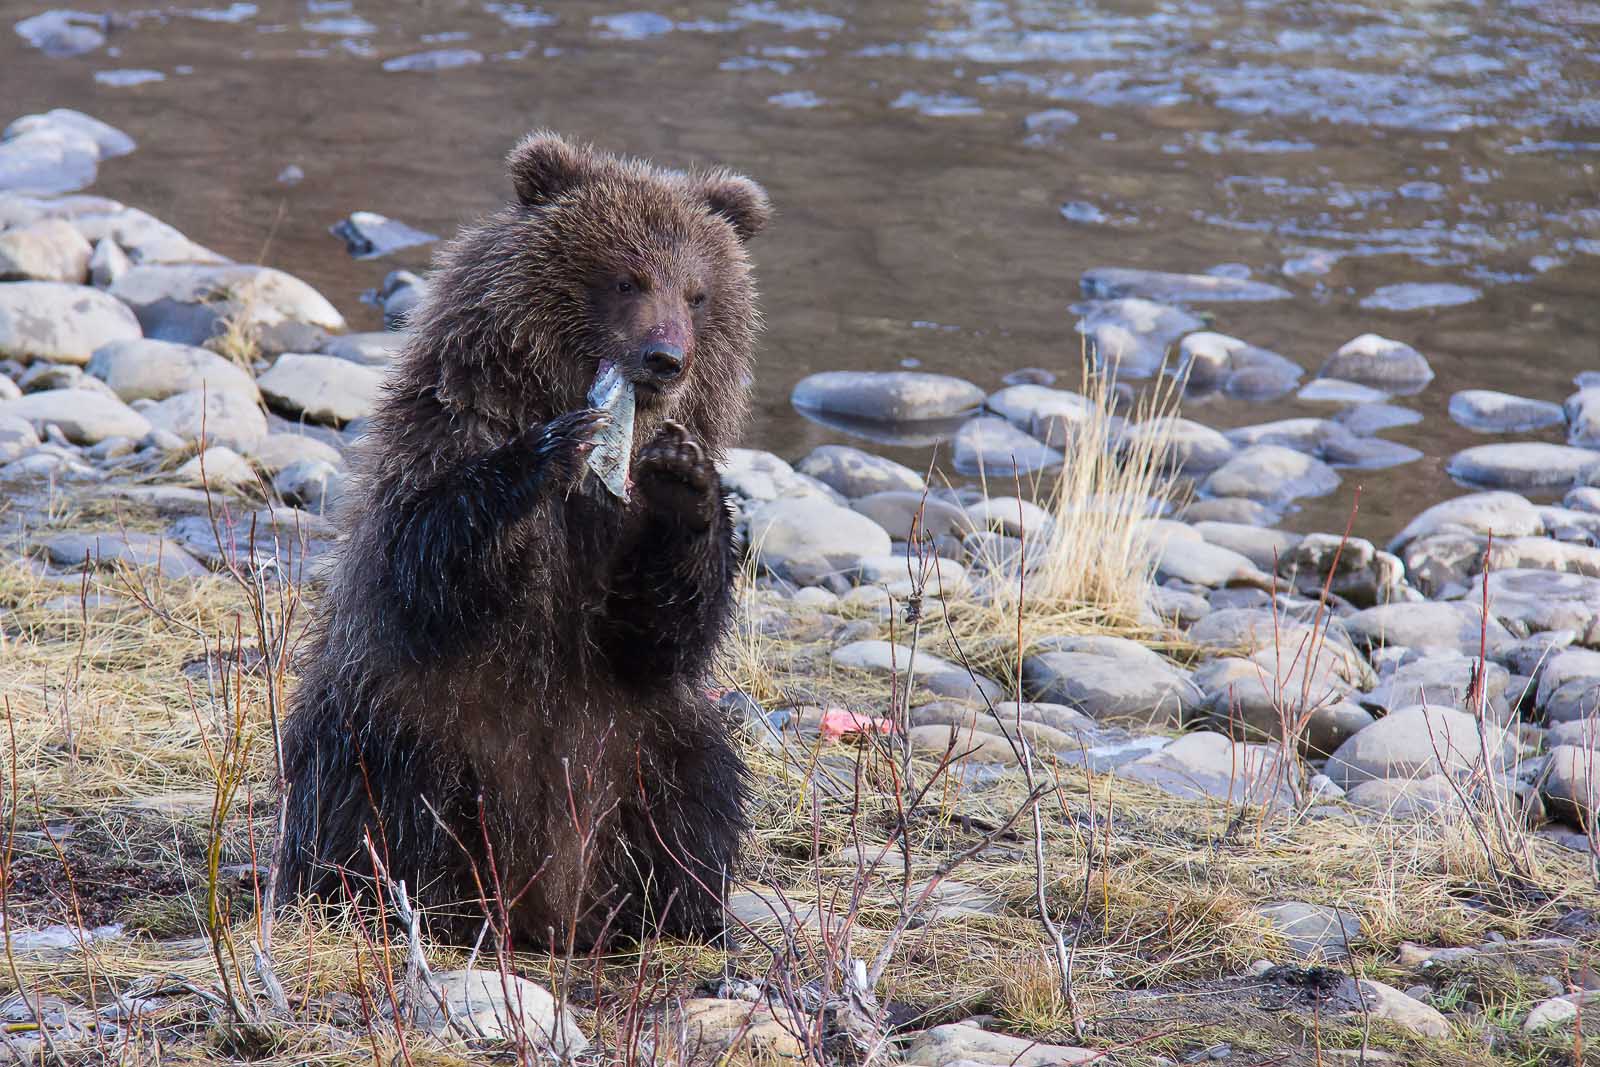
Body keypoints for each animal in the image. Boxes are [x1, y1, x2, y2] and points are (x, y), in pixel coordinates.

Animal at [273, 129, 768, 947]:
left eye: (699, 293)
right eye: (627, 278)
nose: (667, 357)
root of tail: (550, 908)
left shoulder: (617, 554)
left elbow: (657, 627)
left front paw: (685, 479)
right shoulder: (439, 439)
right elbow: (429, 558)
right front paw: (552, 449)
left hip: (640, 745)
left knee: (695, 787)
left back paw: (679, 914)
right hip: (410, 722)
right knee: (379, 791)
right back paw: (391, 902)